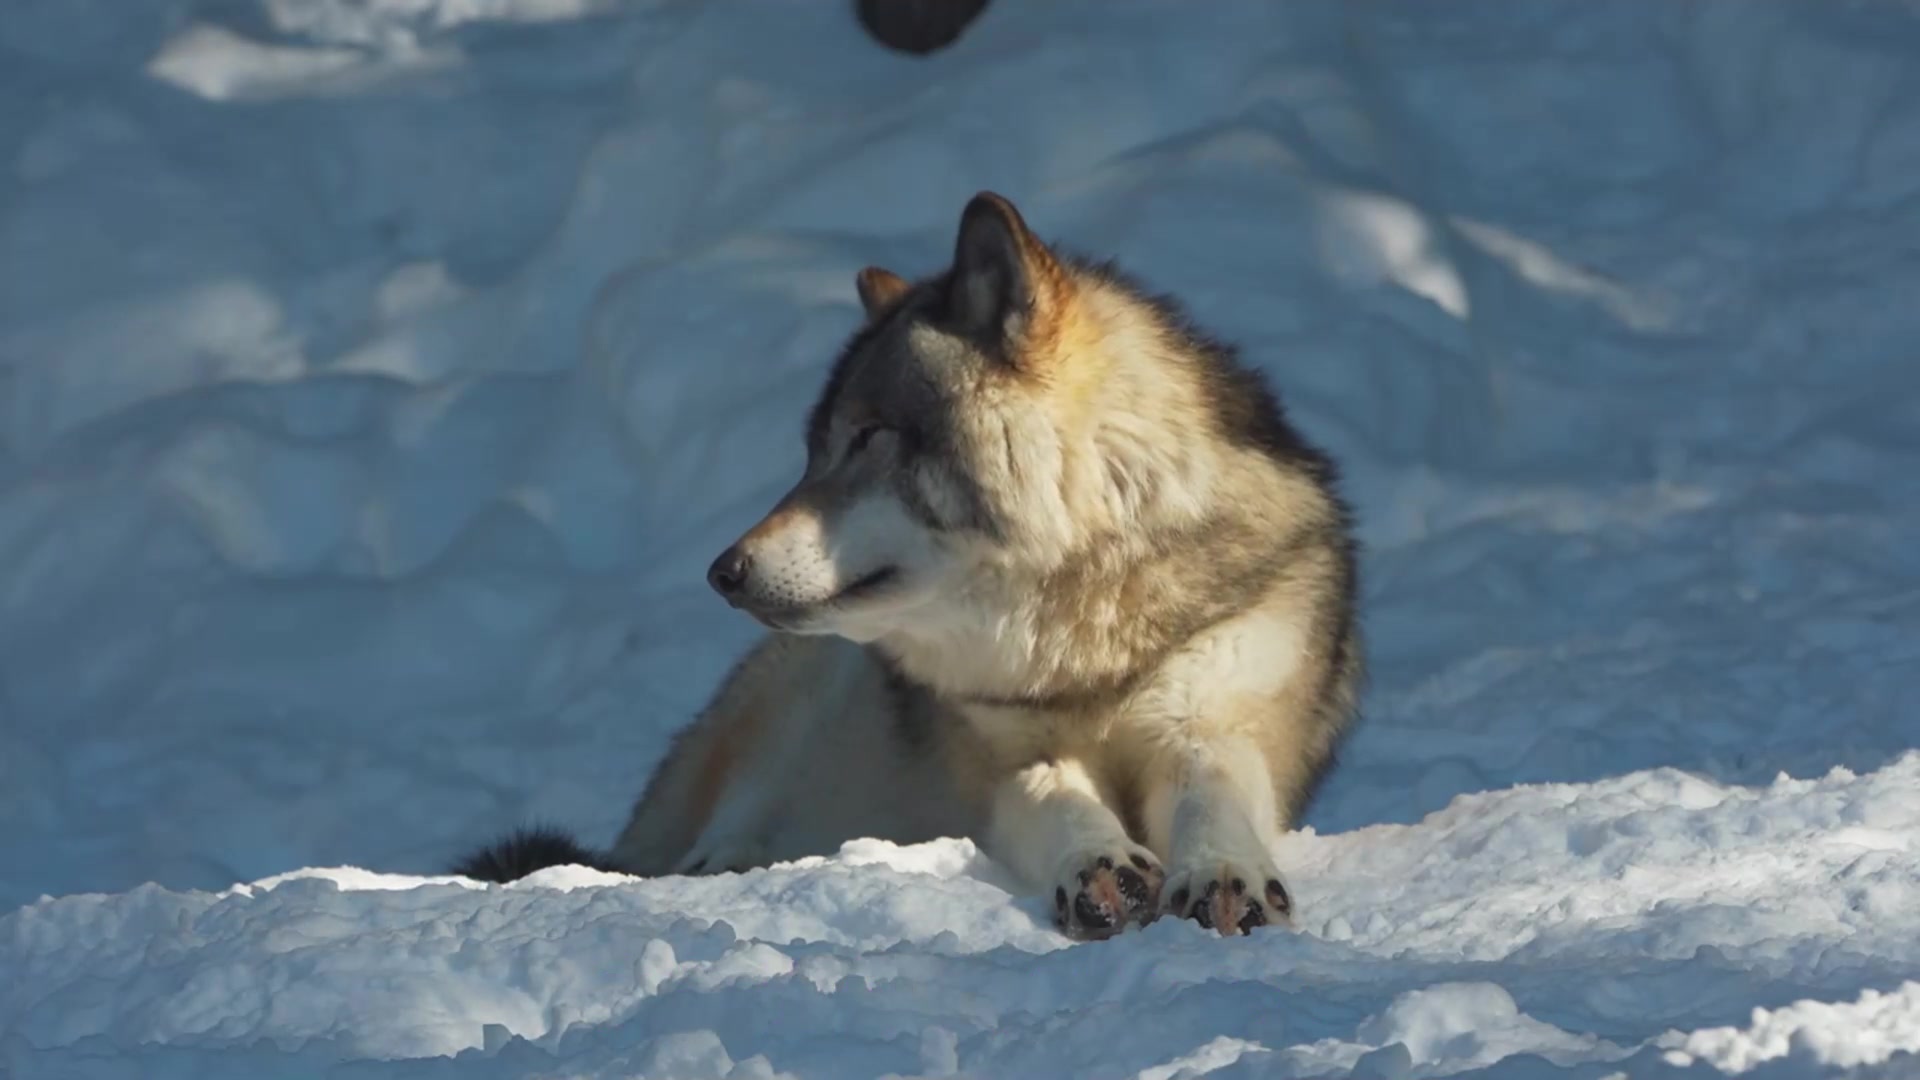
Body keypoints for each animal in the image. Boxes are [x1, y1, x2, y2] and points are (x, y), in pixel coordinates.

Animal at [458, 191, 1367, 933]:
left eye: (867, 438)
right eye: (814, 451)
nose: (723, 571)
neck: (1078, 637)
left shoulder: (1217, 717)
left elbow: (1215, 793)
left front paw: (1224, 875)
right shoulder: (998, 761)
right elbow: (1059, 799)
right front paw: (1102, 867)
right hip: (811, 686)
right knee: (707, 842)